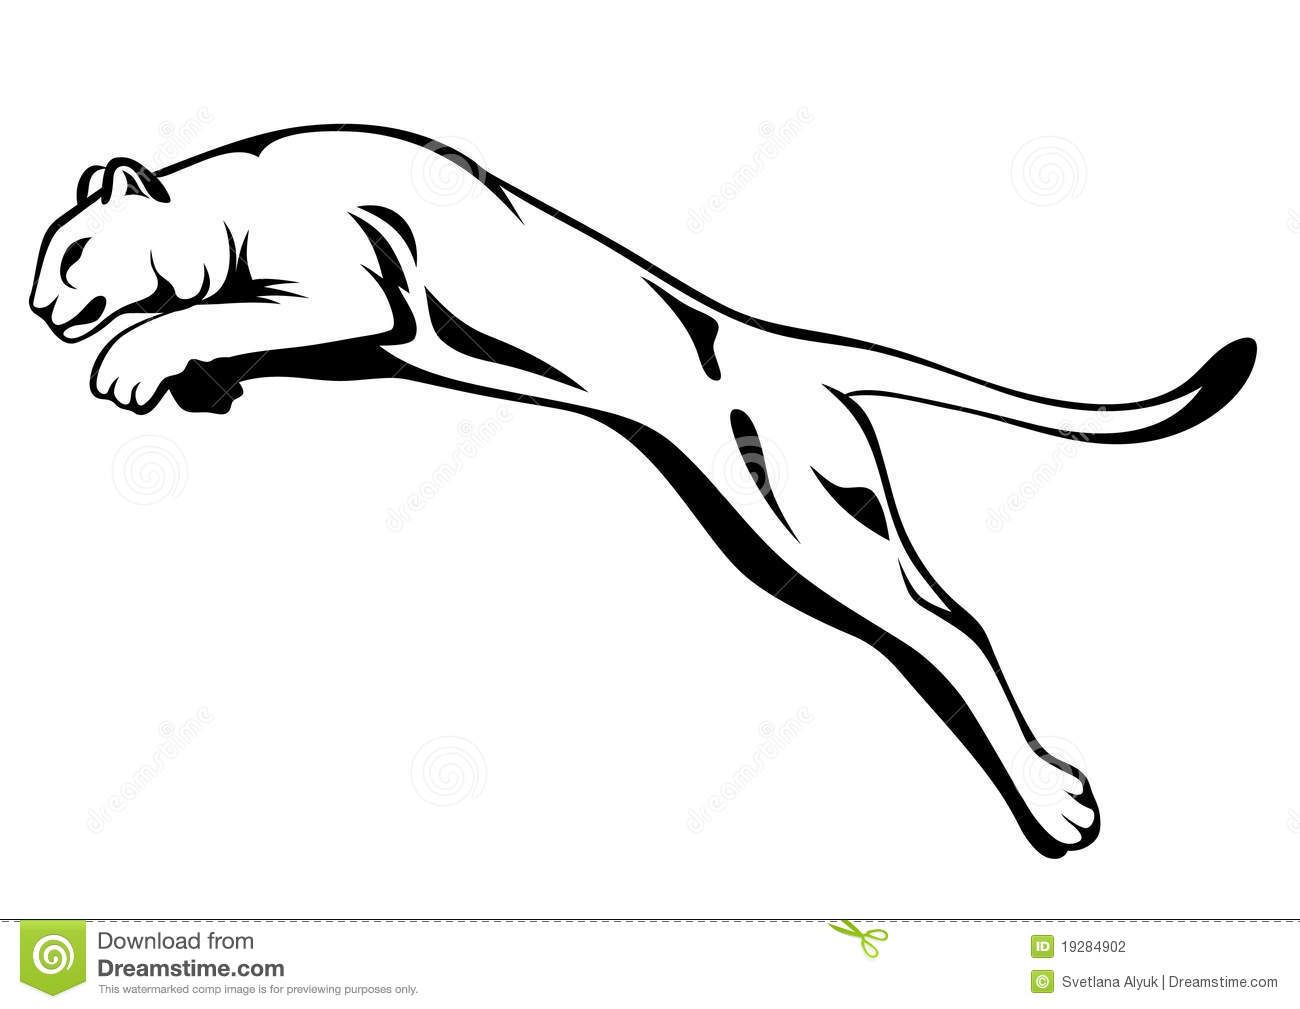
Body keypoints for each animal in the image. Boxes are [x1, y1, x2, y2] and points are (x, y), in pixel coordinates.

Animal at [31, 124, 1256, 856]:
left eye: (72, 256)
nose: (39, 310)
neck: (227, 199)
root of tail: (781, 348)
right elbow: (226, 334)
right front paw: (195, 381)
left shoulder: (351, 282)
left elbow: (214, 314)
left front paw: (139, 358)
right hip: (820, 518)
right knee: (947, 619)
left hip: (801, 521)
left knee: (948, 632)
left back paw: (1054, 805)